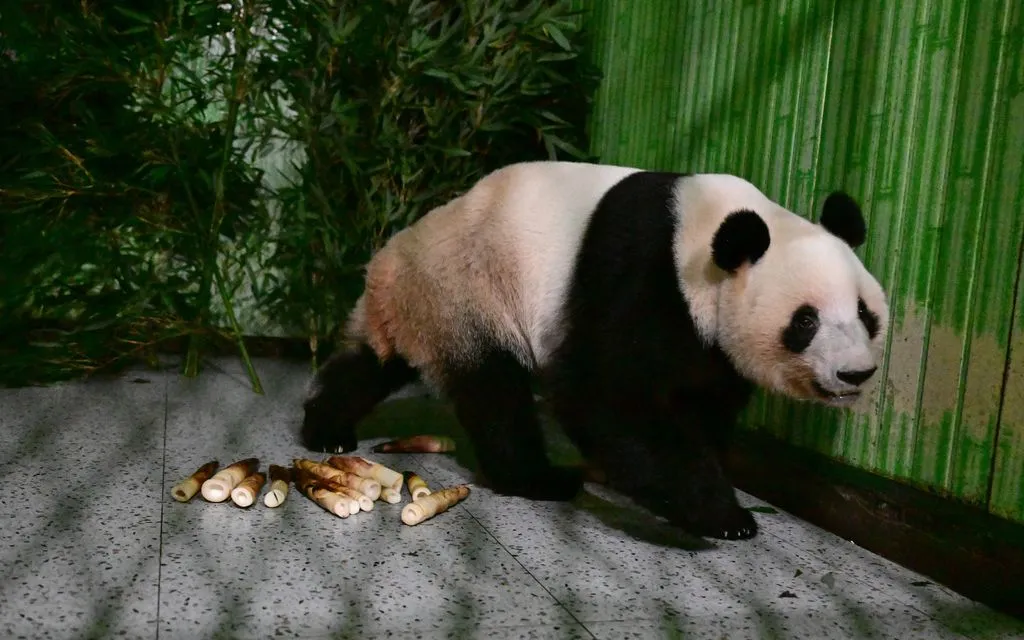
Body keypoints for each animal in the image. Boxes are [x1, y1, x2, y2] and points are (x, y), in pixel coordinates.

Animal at [299, 161, 890, 541]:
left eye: (866, 313)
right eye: (806, 321)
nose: (855, 374)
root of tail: (389, 259)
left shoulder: (710, 343)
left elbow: (700, 403)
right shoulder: (642, 271)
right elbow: (602, 392)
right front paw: (722, 514)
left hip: (422, 307)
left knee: (371, 364)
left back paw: (325, 427)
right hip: (468, 292)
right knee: (495, 392)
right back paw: (539, 478)